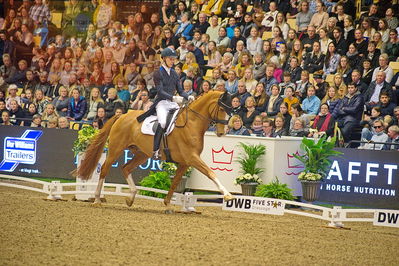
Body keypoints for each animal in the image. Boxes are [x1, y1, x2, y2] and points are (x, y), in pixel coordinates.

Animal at [76, 90, 234, 211]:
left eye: (231, 111)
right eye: (222, 109)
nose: (222, 132)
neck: (191, 123)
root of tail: (122, 115)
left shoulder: (185, 163)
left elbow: (175, 182)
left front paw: (167, 204)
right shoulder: (192, 158)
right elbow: (211, 173)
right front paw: (227, 195)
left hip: (141, 154)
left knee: (126, 168)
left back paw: (131, 197)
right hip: (116, 149)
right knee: (104, 169)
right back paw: (97, 199)